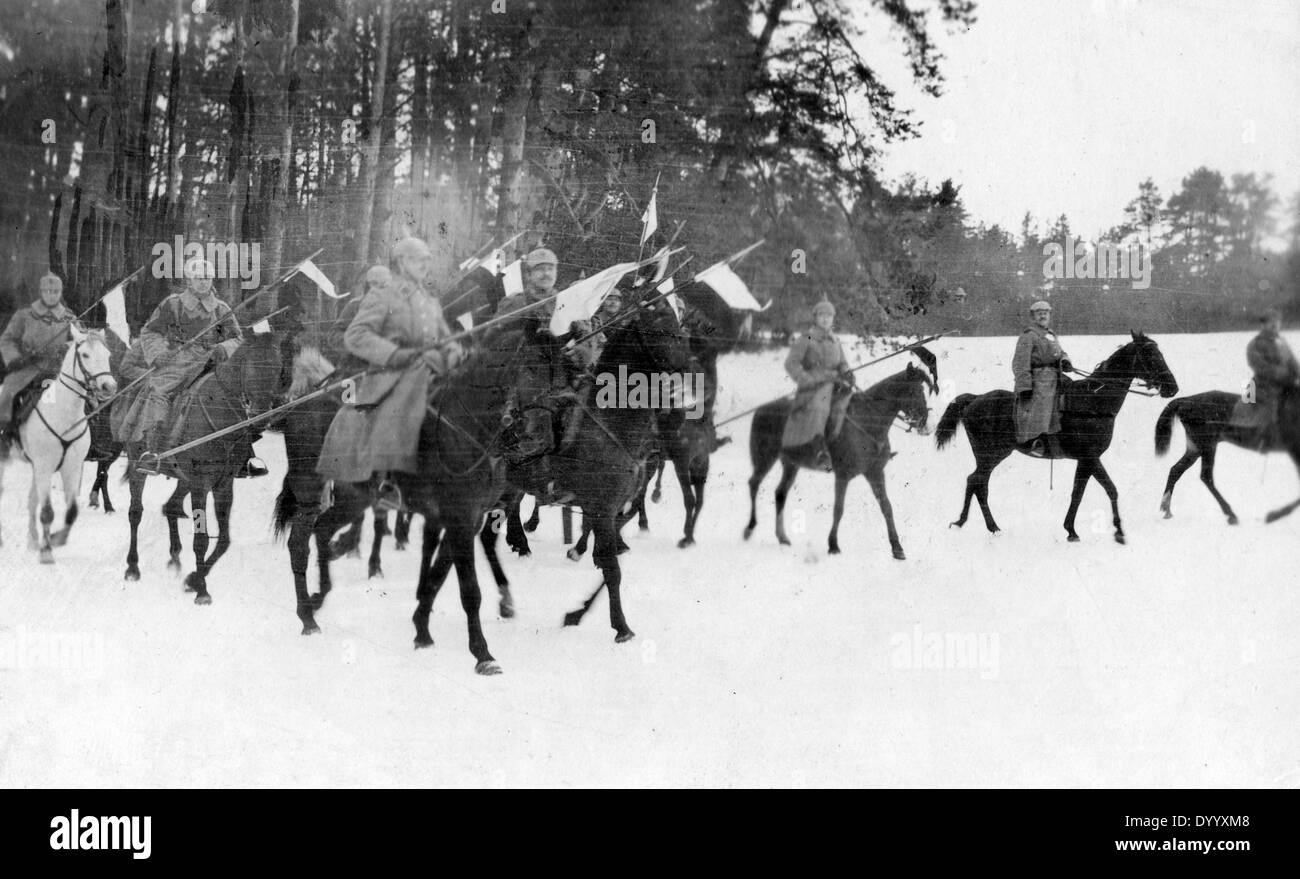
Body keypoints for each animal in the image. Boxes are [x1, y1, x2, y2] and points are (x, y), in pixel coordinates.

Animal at [0, 327, 118, 564]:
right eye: (85, 355)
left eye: (107, 355)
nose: (108, 386)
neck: (64, 415)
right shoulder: (45, 467)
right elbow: (47, 512)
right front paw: (46, 552)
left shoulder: (69, 468)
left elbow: (71, 511)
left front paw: (56, 539)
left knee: (32, 500)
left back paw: (33, 540)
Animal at [935, 331, 1180, 543]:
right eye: (1152, 356)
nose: (1173, 388)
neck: (1092, 402)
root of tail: (974, 398)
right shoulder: (1090, 458)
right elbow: (1106, 489)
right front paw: (1111, 531)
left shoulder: (1086, 460)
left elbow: (1081, 492)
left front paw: (1074, 529)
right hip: (991, 455)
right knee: (977, 482)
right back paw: (985, 525)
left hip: (989, 457)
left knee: (975, 482)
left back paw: (968, 522)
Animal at [1159, 382, 1300, 522]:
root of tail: (1185, 400)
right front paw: (1277, 514)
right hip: (1207, 446)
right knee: (1206, 476)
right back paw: (1231, 514)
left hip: (1195, 448)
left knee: (1176, 470)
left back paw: (1166, 510)